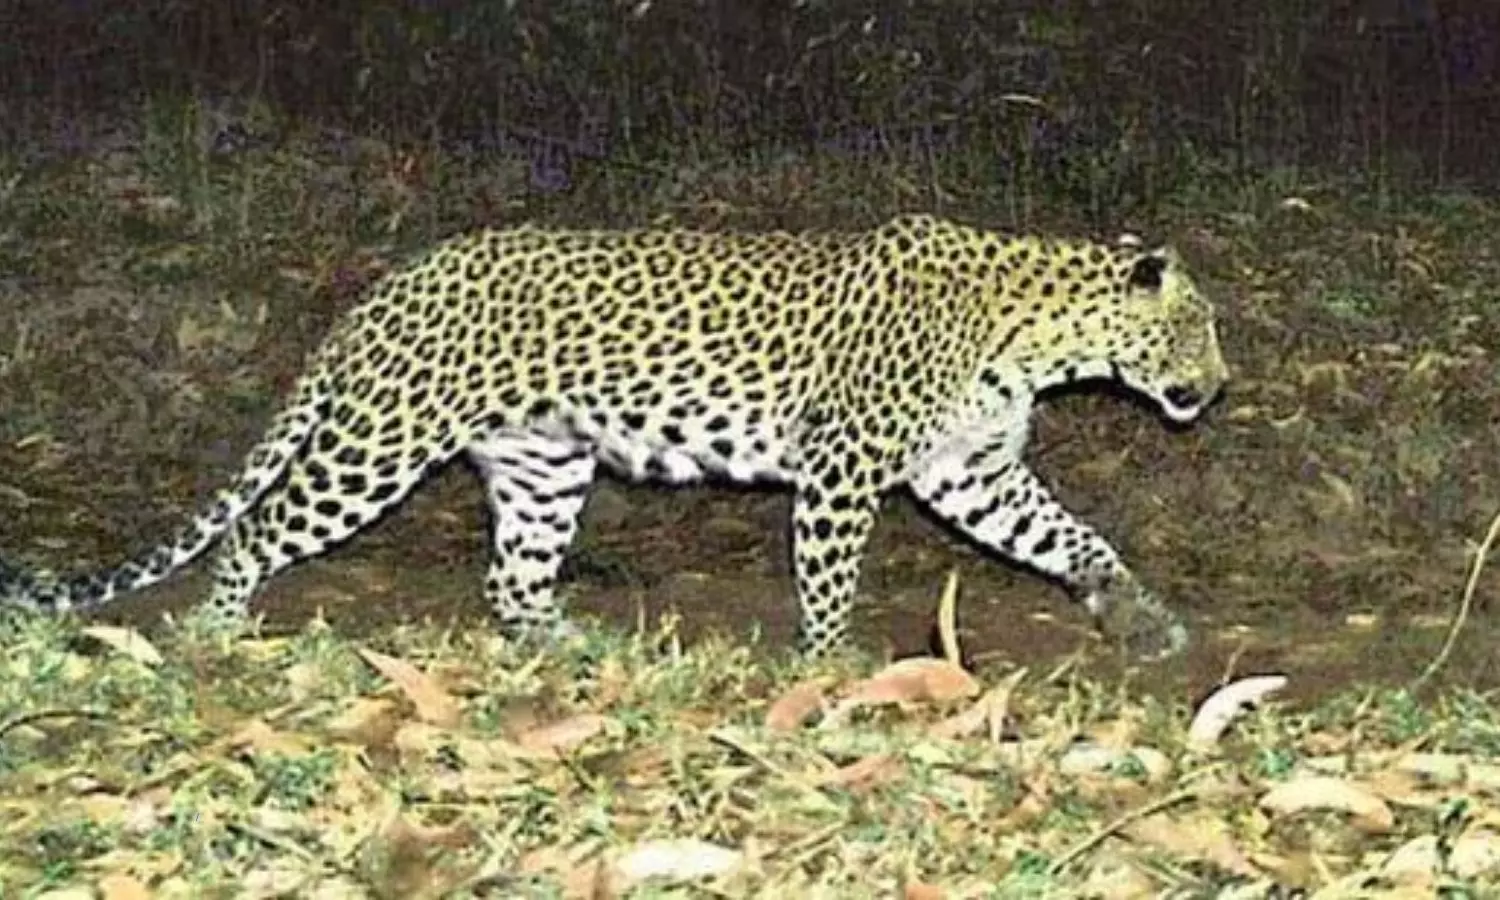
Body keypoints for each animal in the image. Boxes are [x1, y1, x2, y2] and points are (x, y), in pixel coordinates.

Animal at [0, 213, 1230, 657]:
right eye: (1202, 327)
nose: (1218, 389)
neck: (1041, 336)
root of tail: (384, 289)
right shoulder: (844, 472)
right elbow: (829, 580)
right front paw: (830, 665)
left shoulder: (968, 474)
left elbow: (1074, 538)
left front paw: (1140, 616)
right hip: (377, 445)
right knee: (257, 532)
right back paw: (217, 631)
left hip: (543, 462)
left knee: (511, 577)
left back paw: (566, 645)